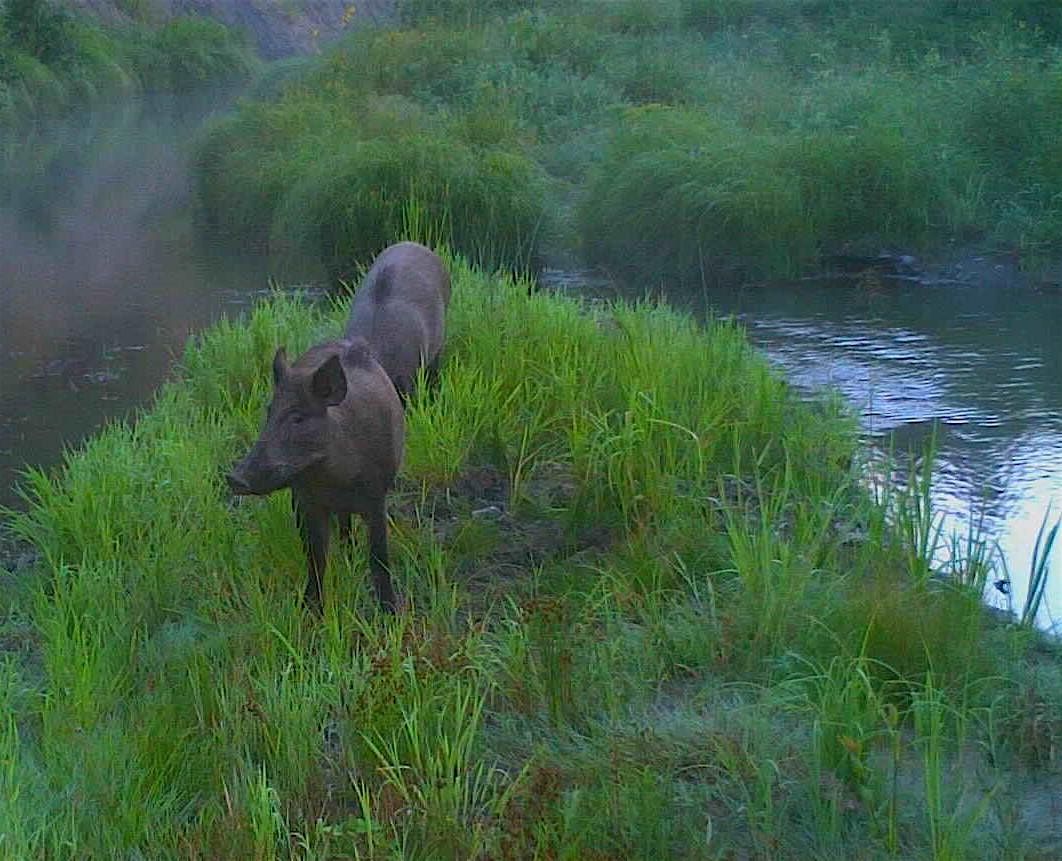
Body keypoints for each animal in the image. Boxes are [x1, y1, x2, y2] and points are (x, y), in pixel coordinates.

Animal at [226, 335, 403, 611]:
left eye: (298, 418)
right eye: (269, 412)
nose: (234, 478)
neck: (335, 479)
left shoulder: (376, 497)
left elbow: (379, 556)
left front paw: (391, 612)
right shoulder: (310, 501)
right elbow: (316, 557)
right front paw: (310, 611)